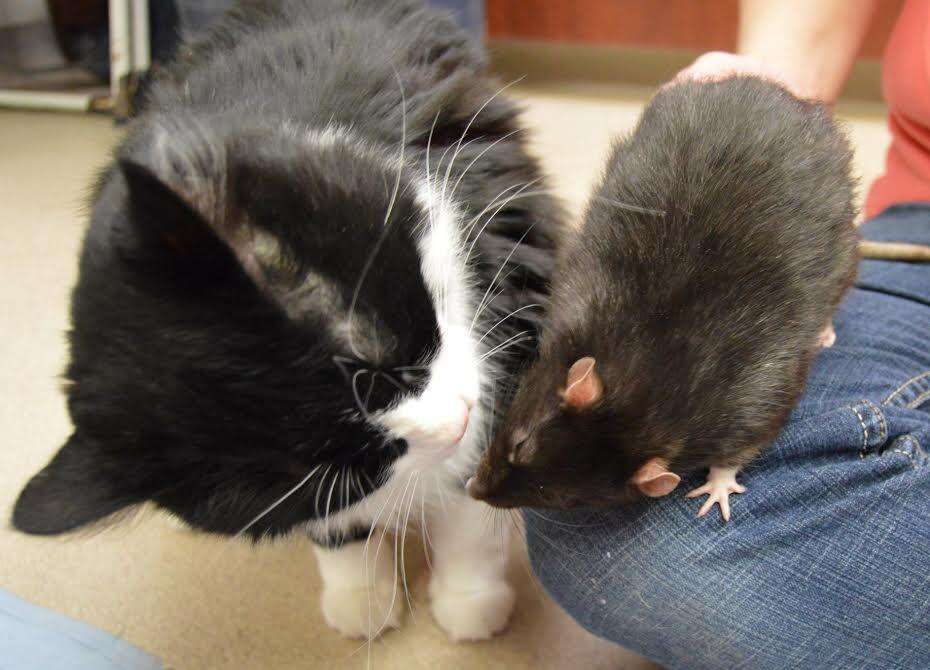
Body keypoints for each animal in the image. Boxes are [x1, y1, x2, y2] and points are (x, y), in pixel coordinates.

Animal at [12, 0, 564, 644]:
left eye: (392, 355)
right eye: (355, 470)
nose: (452, 424)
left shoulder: (510, 272)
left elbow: (476, 491)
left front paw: (469, 599)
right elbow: (338, 527)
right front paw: (361, 593)